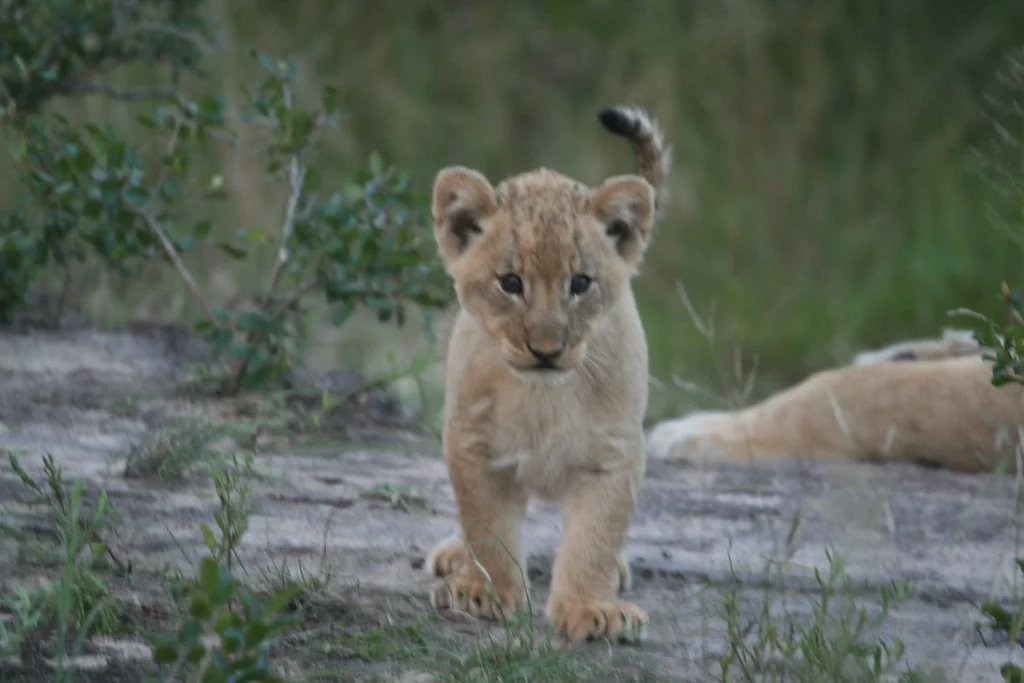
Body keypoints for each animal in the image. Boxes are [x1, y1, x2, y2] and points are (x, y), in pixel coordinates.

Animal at [423, 104, 672, 644]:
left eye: (580, 283)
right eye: (510, 282)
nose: (546, 350)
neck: (543, 398)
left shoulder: (612, 455)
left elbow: (594, 538)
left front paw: (592, 609)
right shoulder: (473, 444)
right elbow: (487, 526)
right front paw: (485, 593)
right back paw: (455, 556)